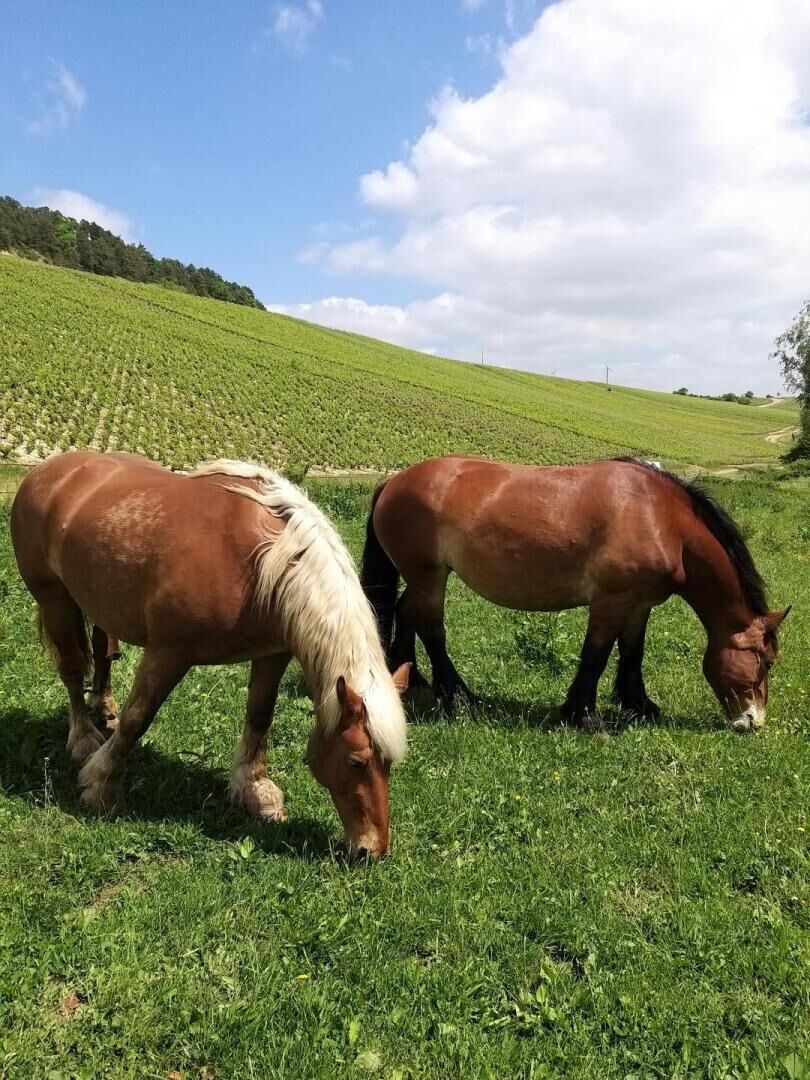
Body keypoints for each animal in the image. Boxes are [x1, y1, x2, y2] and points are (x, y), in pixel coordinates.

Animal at [11, 452, 410, 858]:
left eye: (390, 763)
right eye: (356, 761)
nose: (371, 849)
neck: (261, 563)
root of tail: (47, 471)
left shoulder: (272, 654)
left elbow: (259, 717)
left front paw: (255, 791)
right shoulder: (168, 652)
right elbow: (138, 718)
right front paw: (100, 783)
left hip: (97, 601)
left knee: (103, 651)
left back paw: (104, 708)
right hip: (54, 600)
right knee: (73, 670)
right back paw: (82, 738)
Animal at [361, 455, 789, 732]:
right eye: (766, 662)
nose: (752, 721)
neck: (662, 518)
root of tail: (393, 482)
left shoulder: (639, 604)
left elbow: (632, 652)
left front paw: (639, 706)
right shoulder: (611, 601)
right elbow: (596, 654)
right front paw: (583, 715)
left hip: (422, 578)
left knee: (406, 612)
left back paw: (414, 679)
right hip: (429, 577)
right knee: (431, 627)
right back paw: (459, 697)